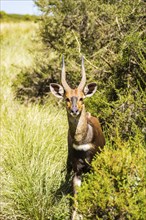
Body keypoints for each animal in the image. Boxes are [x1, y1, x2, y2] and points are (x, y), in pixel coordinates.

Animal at [50, 57, 105, 220]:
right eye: (67, 99)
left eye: (81, 98)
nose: (74, 110)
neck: (83, 142)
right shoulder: (77, 169)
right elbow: (75, 200)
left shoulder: (93, 166)